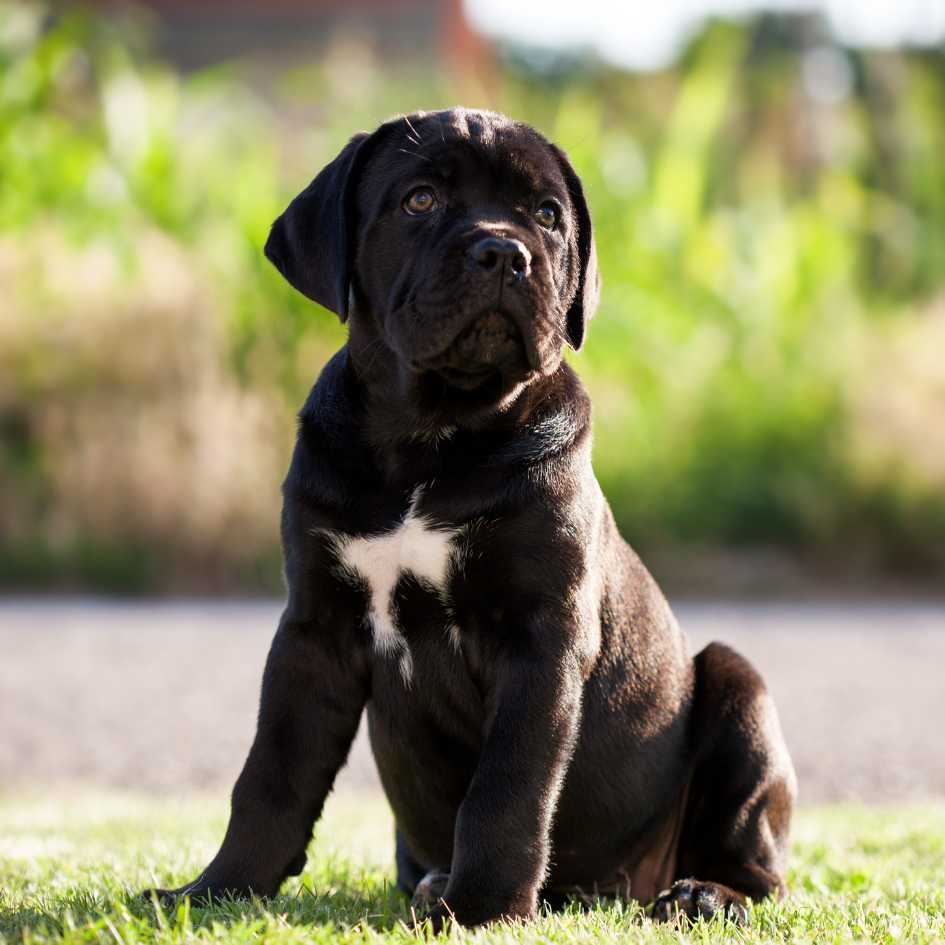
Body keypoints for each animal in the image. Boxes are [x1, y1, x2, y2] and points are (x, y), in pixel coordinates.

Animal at [149, 109, 796, 920]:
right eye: (419, 200)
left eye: (547, 215)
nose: (503, 252)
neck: (430, 437)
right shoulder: (314, 628)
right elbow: (271, 771)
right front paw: (218, 888)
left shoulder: (539, 638)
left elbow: (507, 789)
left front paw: (483, 907)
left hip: (741, 690)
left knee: (761, 867)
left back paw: (702, 892)